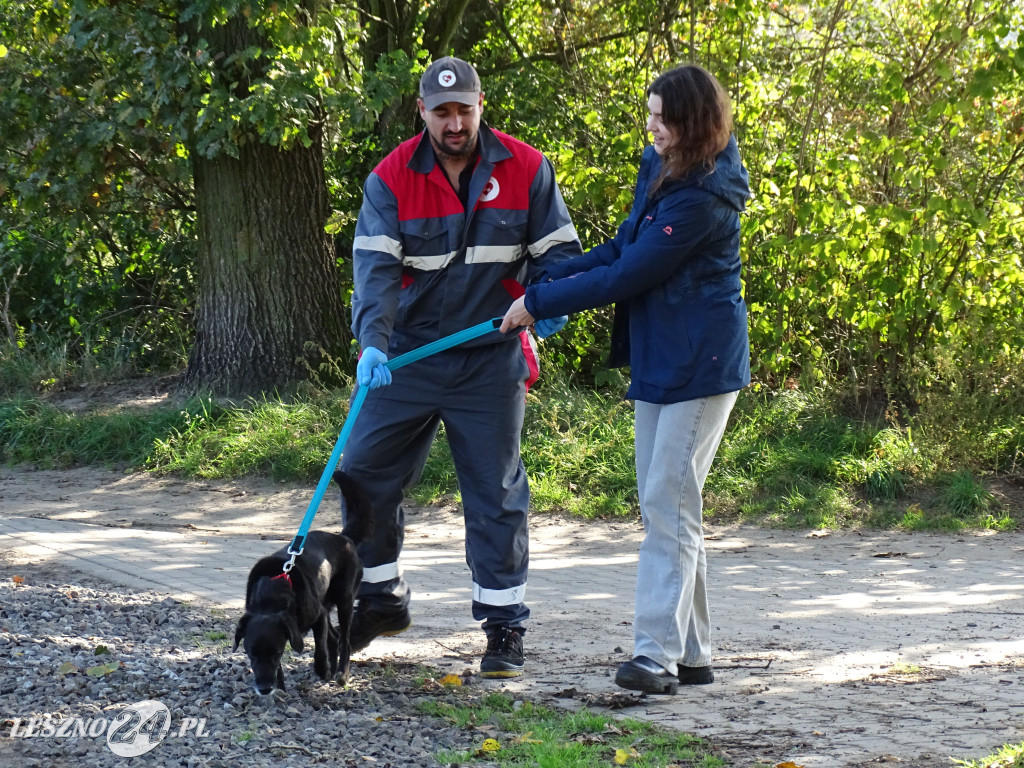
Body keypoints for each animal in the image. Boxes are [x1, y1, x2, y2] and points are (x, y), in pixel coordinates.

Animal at [234, 468, 370, 696]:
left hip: (344, 600)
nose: (264, 688)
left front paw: (323, 669)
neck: (271, 597)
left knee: (344, 640)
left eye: (277, 651)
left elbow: (319, 649)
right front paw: (280, 686)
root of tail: (344, 539)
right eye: (251, 653)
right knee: (334, 638)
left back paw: (341, 673)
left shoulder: (319, 617)